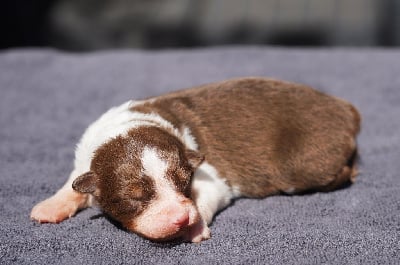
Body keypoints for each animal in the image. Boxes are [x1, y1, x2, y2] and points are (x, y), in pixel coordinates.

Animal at [29, 76, 360, 241]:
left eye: (183, 182)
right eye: (134, 197)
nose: (180, 218)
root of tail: (345, 108)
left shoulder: (211, 174)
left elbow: (205, 197)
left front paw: (195, 226)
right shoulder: (84, 161)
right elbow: (74, 184)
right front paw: (49, 206)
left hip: (303, 165)